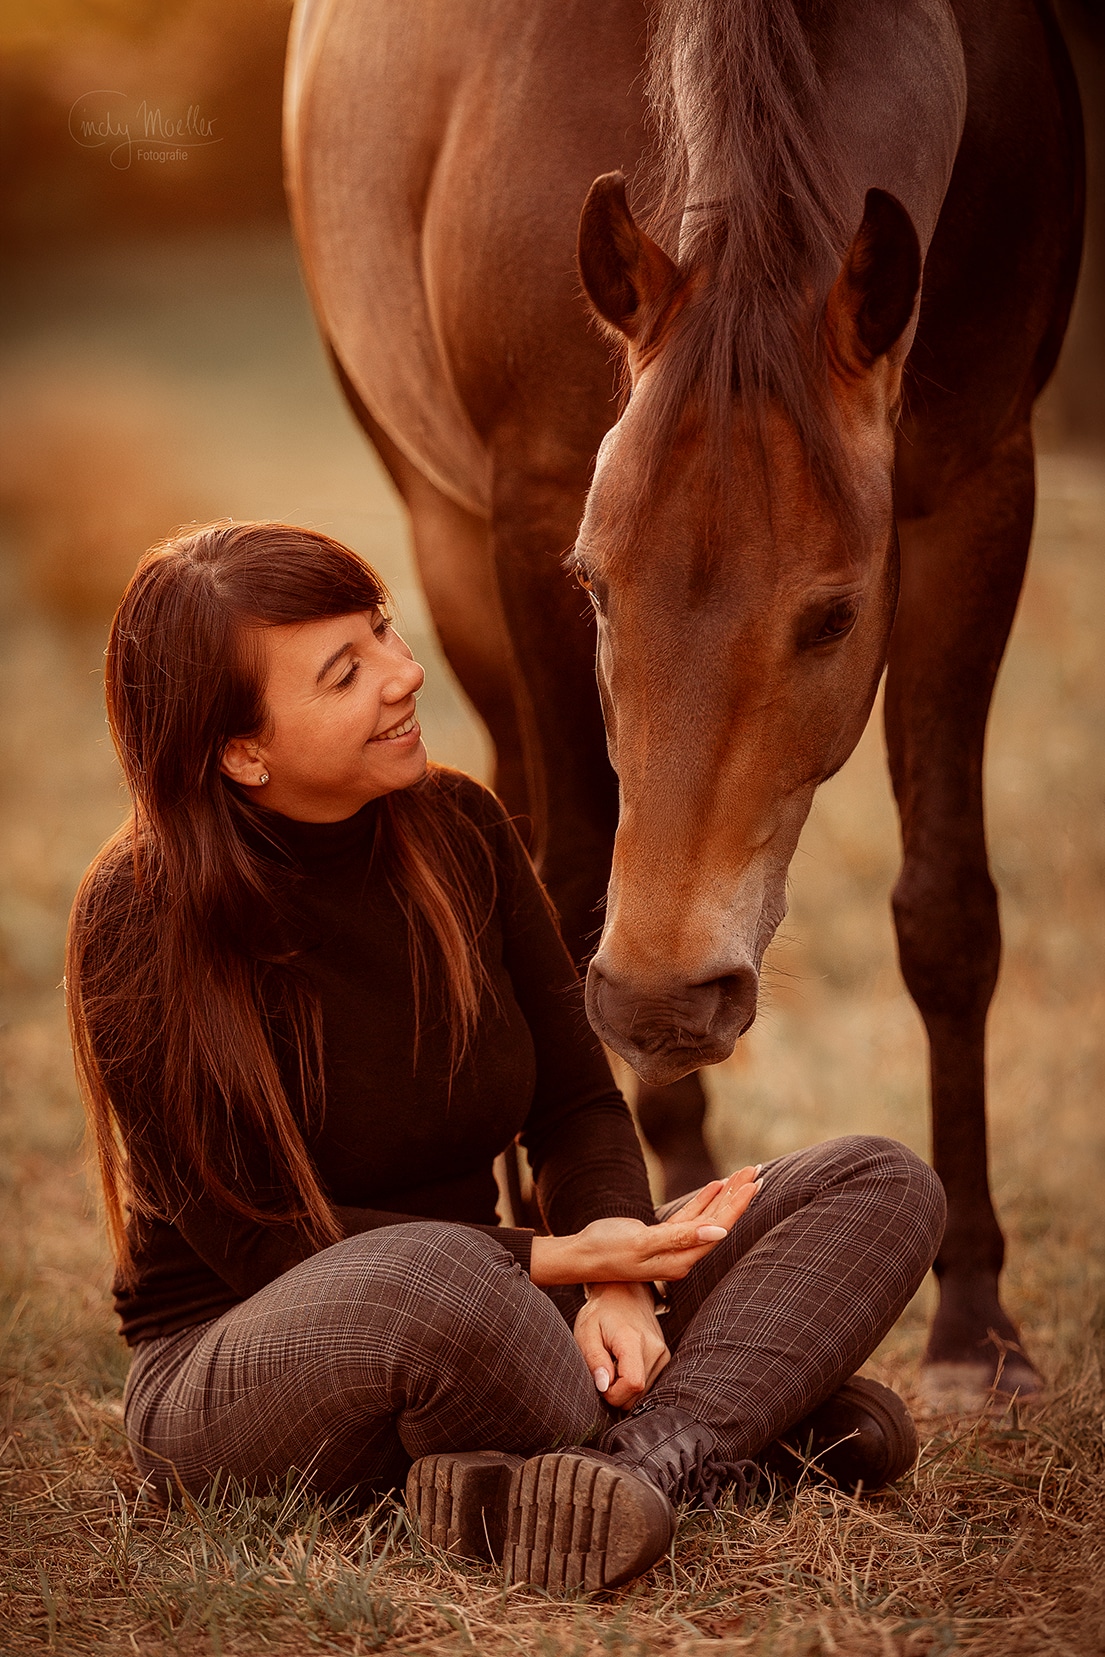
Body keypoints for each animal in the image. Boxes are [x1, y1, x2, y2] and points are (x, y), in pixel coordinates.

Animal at [284, 0, 1084, 1406]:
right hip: (443, 536)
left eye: (833, 616)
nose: (665, 998)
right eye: (594, 585)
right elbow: (556, 891)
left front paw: (977, 1325)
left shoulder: (979, 485)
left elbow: (946, 916)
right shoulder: (532, 501)